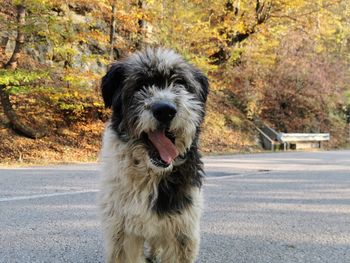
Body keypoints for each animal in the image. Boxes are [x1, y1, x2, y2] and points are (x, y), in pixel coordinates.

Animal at [98, 48, 208, 263]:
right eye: (141, 84)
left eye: (180, 83)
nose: (165, 110)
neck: (152, 174)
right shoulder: (122, 232)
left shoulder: (182, 231)